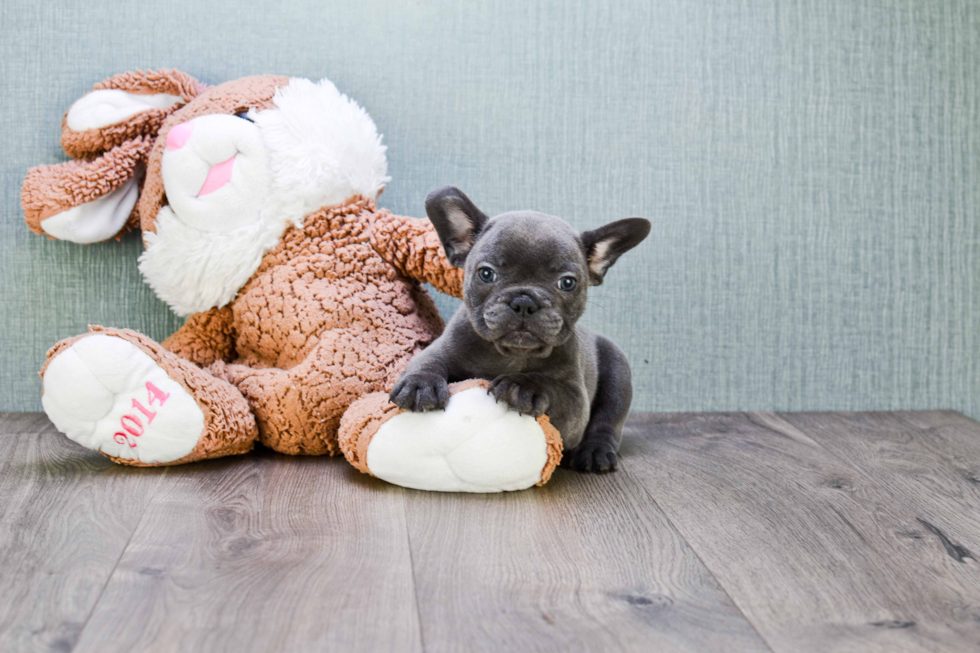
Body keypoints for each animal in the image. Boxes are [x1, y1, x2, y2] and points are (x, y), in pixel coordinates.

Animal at [390, 186, 652, 472]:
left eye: (567, 282)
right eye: (486, 274)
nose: (524, 301)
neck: (510, 354)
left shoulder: (576, 404)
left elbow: (556, 389)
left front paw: (522, 385)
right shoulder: (443, 348)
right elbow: (427, 361)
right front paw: (419, 384)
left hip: (618, 372)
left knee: (608, 421)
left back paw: (596, 452)